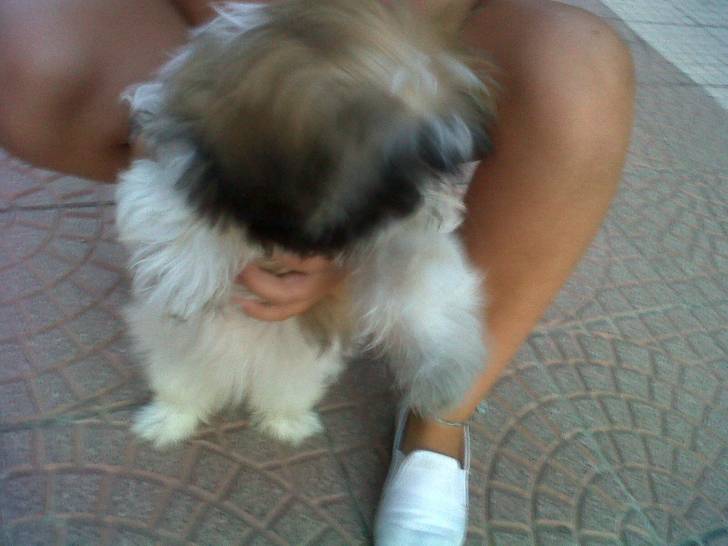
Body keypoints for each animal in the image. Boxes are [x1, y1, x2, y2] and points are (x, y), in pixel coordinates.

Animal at [116, 0, 496, 447]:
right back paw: (169, 419)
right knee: (183, 388)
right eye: (394, 181)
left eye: (436, 165)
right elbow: (166, 201)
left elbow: (421, 278)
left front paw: (445, 370)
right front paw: (188, 269)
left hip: (298, 374)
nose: (433, 203)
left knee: (282, 395)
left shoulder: (387, 242)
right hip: (173, 356)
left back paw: (286, 422)